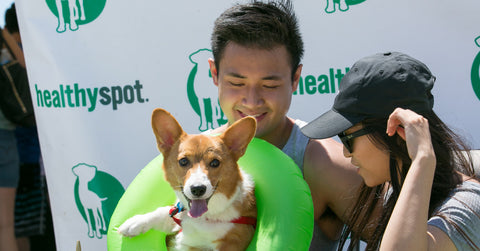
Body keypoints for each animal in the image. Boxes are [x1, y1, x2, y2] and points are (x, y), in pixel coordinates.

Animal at [117, 108, 256, 251]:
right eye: (183, 161)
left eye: (215, 162)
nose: (198, 189)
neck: (205, 217)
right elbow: (163, 212)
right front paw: (134, 223)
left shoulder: (232, 241)